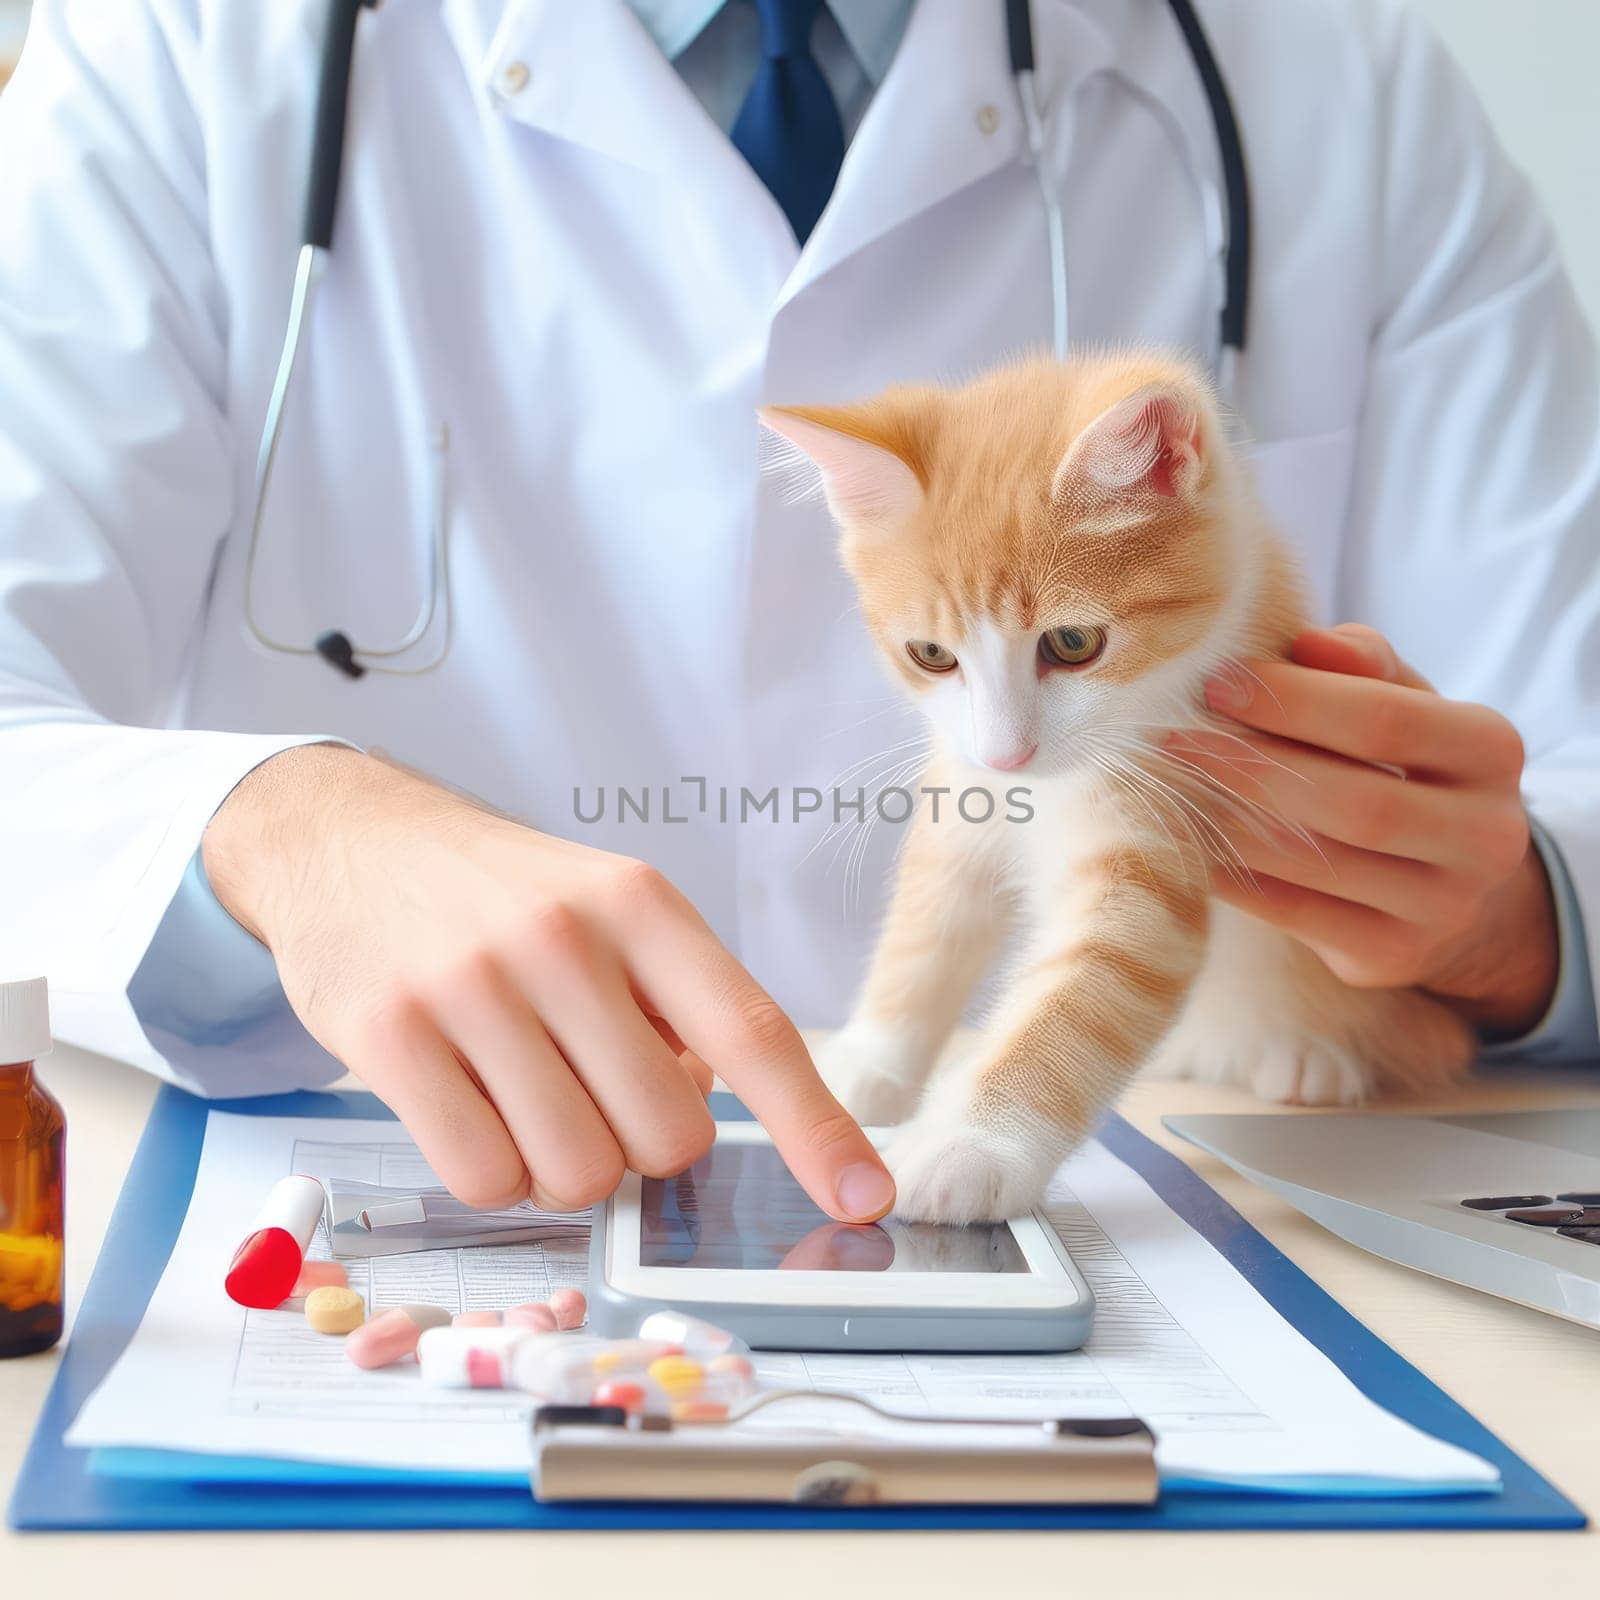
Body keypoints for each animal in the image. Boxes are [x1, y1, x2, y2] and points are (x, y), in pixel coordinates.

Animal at [761, 353, 1472, 1222]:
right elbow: (925, 935)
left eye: (1073, 643)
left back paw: (1309, 1054)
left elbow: (1083, 994)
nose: (1007, 754)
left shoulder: (1172, 810)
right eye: (931, 655)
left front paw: (969, 1144)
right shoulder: (959, 795)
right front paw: (864, 1065)